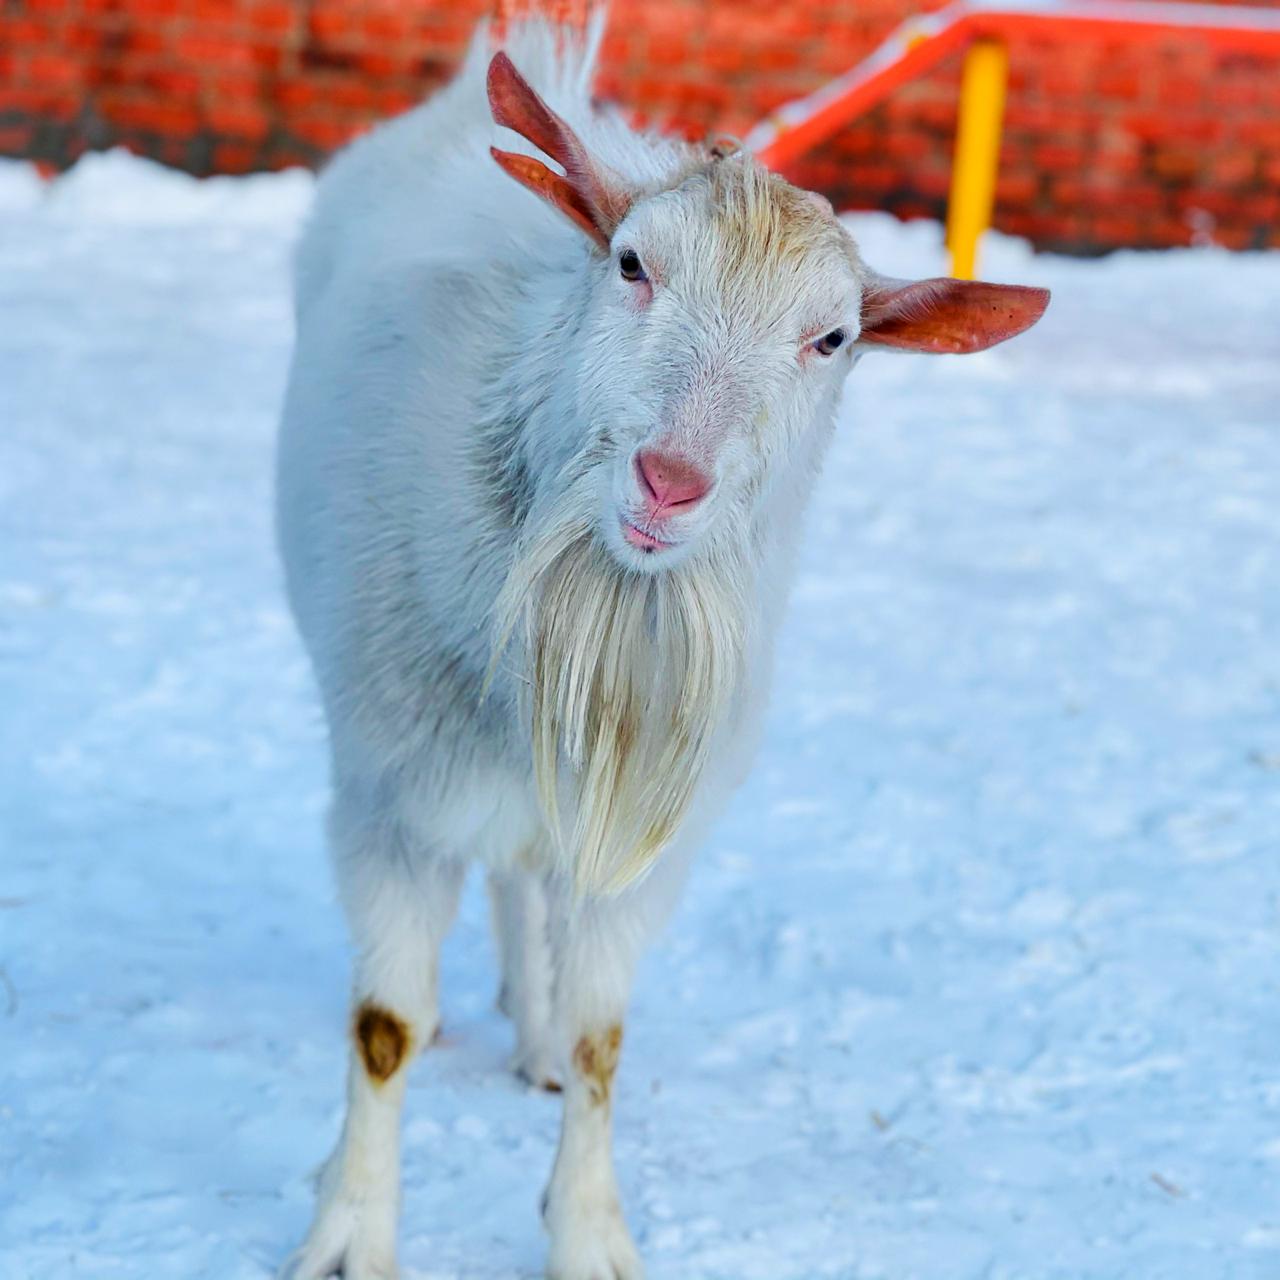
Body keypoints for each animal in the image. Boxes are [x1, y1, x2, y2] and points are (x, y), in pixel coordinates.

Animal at [275, 20, 1044, 1280]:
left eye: (832, 337)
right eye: (632, 264)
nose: (668, 482)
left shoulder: (643, 825)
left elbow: (603, 1036)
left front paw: (588, 1227)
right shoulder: (388, 800)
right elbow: (385, 1029)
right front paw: (348, 1233)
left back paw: (532, 1033)